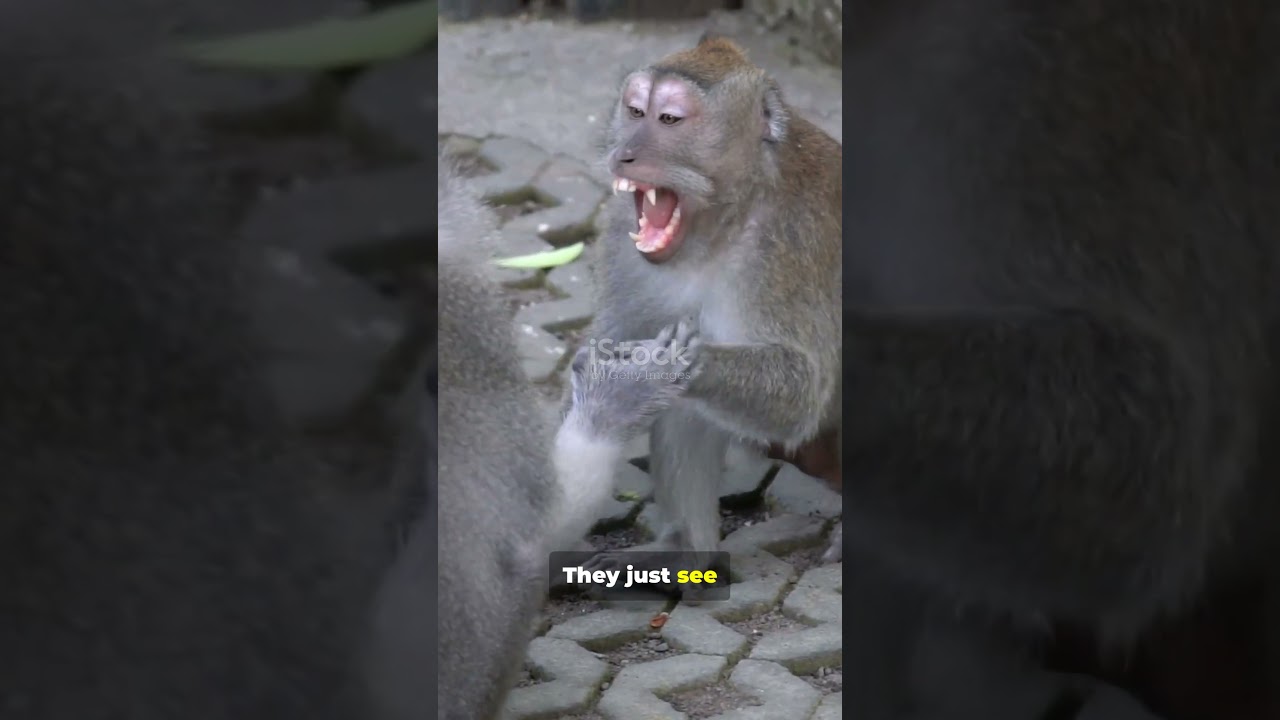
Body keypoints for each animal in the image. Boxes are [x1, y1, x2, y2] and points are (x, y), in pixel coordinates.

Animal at [575, 34, 842, 578]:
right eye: (635, 111)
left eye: (669, 119)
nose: (625, 154)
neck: (723, 225)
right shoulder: (621, 239)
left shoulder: (790, 245)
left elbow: (801, 391)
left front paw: (659, 363)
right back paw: (684, 554)